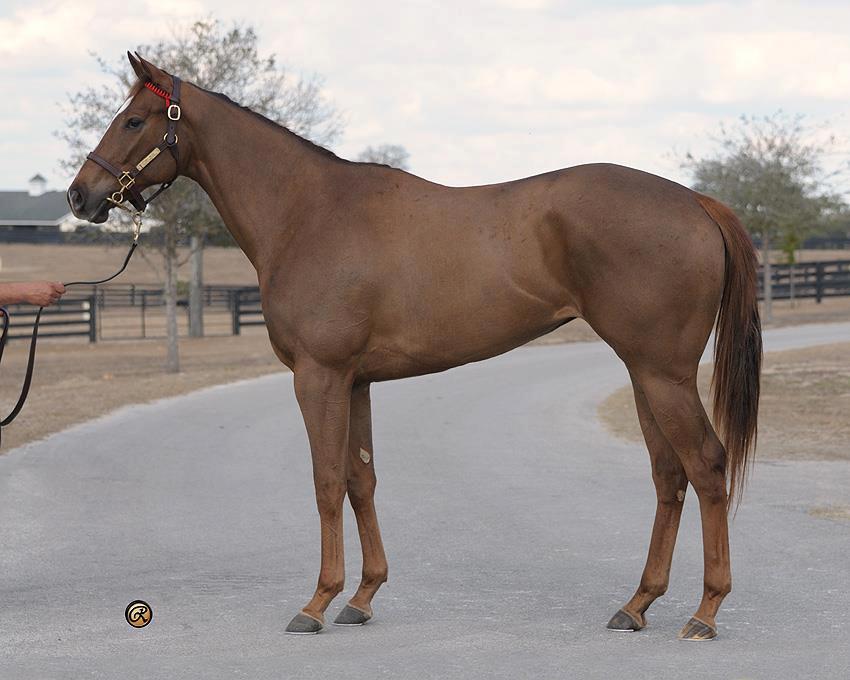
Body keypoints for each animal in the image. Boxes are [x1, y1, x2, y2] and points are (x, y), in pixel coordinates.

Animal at [68, 53, 761, 640]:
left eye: (133, 119)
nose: (80, 196)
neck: (307, 213)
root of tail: (695, 202)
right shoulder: (355, 381)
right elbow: (361, 478)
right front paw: (362, 597)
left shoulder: (318, 376)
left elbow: (325, 481)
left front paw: (317, 603)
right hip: (645, 373)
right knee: (669, 475)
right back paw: (636, 604)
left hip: (663, 374)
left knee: (706, 465)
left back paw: (704, 612)